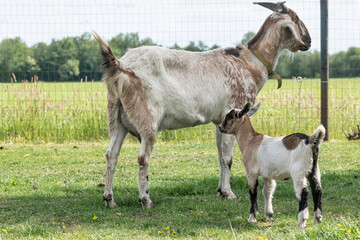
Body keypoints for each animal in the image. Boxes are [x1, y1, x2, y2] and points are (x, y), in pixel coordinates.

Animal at [94, 1, 310, 208]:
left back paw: (109, 199)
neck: (250, 63)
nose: (308, 41)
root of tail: (121, 65)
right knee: (142, 158)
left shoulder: (220, 121)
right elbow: (228, 157)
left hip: (116, 116)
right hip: (147, 117)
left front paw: (221, 191)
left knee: (111, 154)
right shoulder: (235, 107)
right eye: (296, 19)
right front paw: (229, 193)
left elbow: (221, 156)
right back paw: (145, 200)